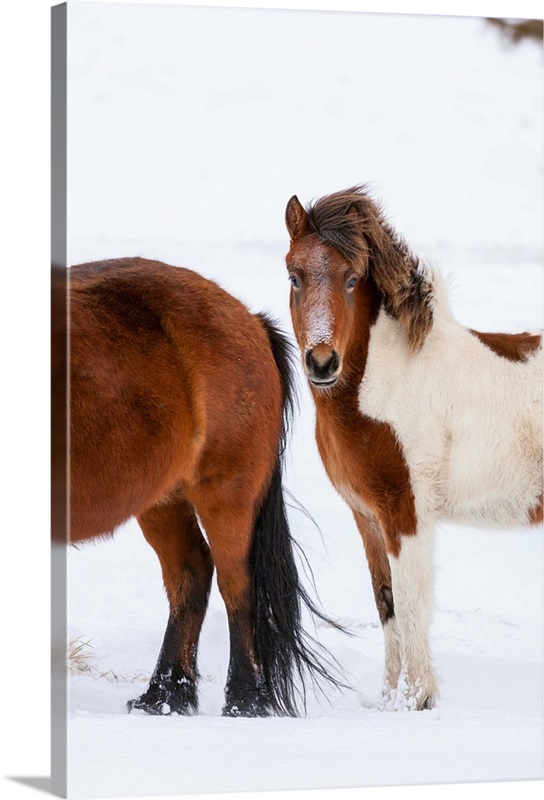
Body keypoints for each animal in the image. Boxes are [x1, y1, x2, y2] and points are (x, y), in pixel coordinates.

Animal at [66, 258, 340, 720]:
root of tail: (249, 318)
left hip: (226, 494)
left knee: (237, 585)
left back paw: (245, 699)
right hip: (163, 500)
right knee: (190, 574)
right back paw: (164, 697)